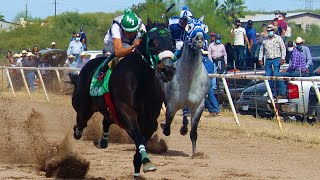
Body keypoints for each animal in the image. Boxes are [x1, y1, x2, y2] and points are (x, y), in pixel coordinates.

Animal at [70, 20, 176, 177]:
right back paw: (79, 132)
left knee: (106, 120)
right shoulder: (126, 111)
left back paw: (102, 141)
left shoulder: (150, 120)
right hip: (83, 107)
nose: (168, 70)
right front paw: (147, 162)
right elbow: (138, 136)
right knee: (80, 125)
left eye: (172, 42)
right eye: (152, 42)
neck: (141, 80)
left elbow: (140, 141)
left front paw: (140, 165)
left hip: (108, 110)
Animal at [160, 15, 210, 155]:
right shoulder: (171, 104)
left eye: (204, 27)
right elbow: (167, 127)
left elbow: (193, 132)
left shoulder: (198, 105)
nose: (199, 38)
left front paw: (195, 154)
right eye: (190, 26)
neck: (190, 78)